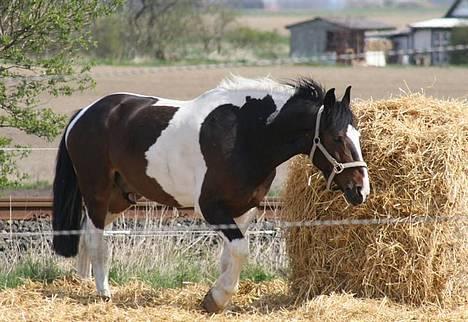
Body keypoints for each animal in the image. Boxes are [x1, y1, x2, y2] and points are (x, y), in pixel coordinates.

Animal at [52, 75, 370, 312]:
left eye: (358, 136)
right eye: (337, 138)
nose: (361, 190)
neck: (246, 134)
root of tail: (83, 114)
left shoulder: (244, 209)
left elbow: (229, 257)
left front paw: (217, 298)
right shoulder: (210, 208)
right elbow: (241, 250)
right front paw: (216, 298)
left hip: (120, 197)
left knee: (85, 233)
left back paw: (84, 284)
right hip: (97, 192)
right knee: (96, 238)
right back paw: (104, 292)